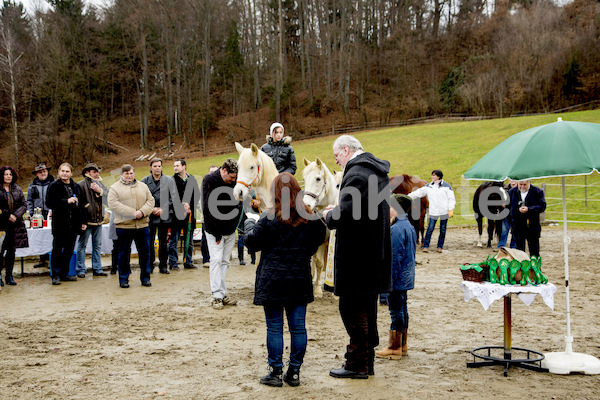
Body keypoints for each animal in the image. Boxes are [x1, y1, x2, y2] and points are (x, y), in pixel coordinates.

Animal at [302, 157, 340, 296]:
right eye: (304, 178)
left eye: (318, 178)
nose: (306, 205)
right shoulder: (320, 241)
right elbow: (318, 263)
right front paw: (318, 289)